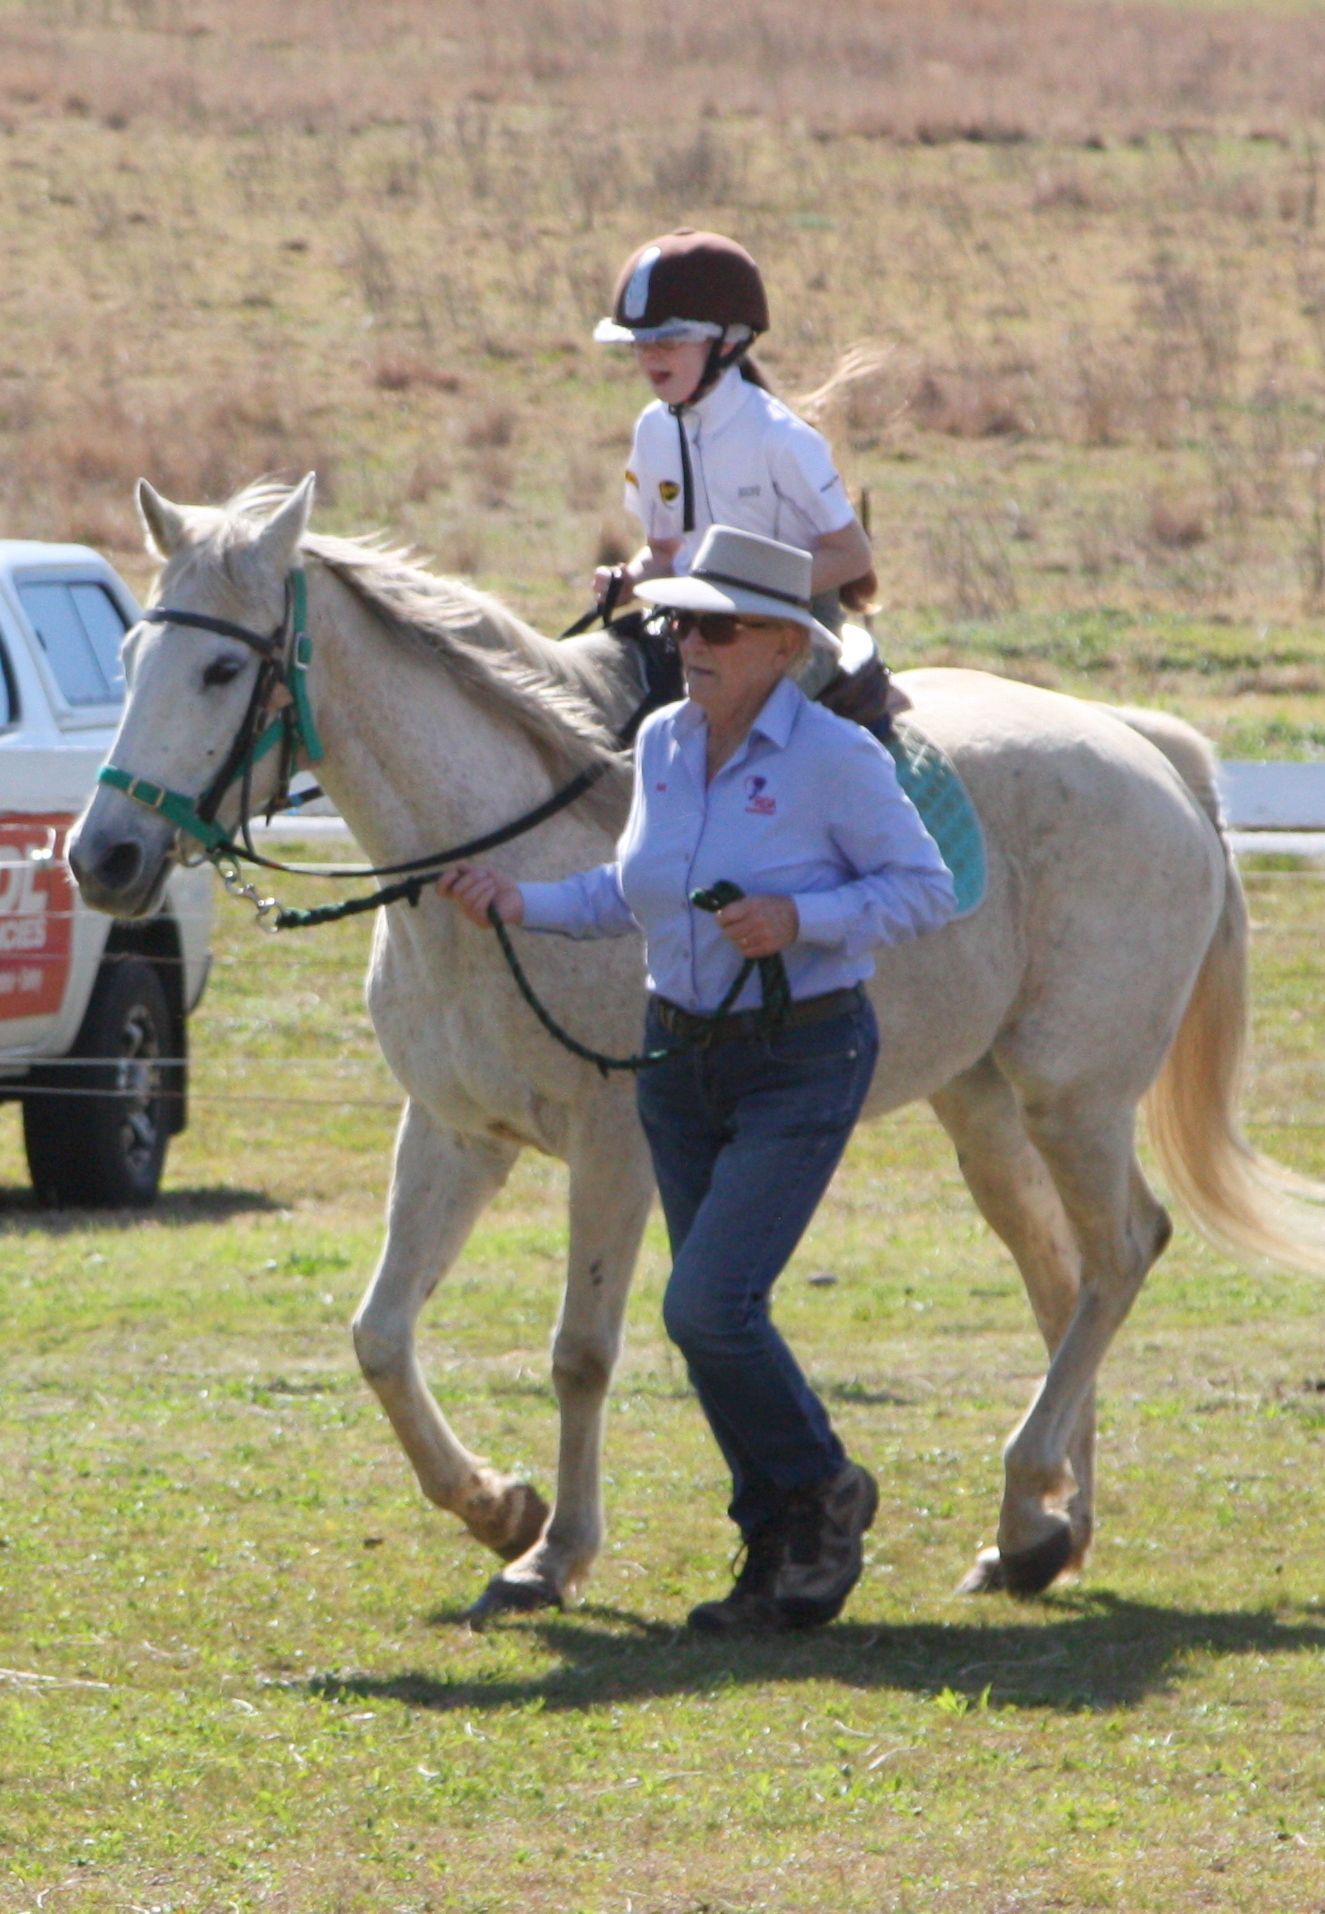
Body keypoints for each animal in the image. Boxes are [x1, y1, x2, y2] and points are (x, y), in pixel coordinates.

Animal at [69, 474, 1325, 1620]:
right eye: (127, 655)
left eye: (221, 672)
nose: (104, 857)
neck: (498, 865)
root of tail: (1149, 751)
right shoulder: (454, 1133)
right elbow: (378, 1335)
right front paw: (497, 1507)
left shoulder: (613, 1145)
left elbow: (580, 1351)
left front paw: (552, 1554)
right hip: (981, 1108)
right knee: (1060, 1277)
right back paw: (1041, 1532)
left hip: (1073, 1097)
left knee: (1118, 1254)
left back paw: (1031, 1497)